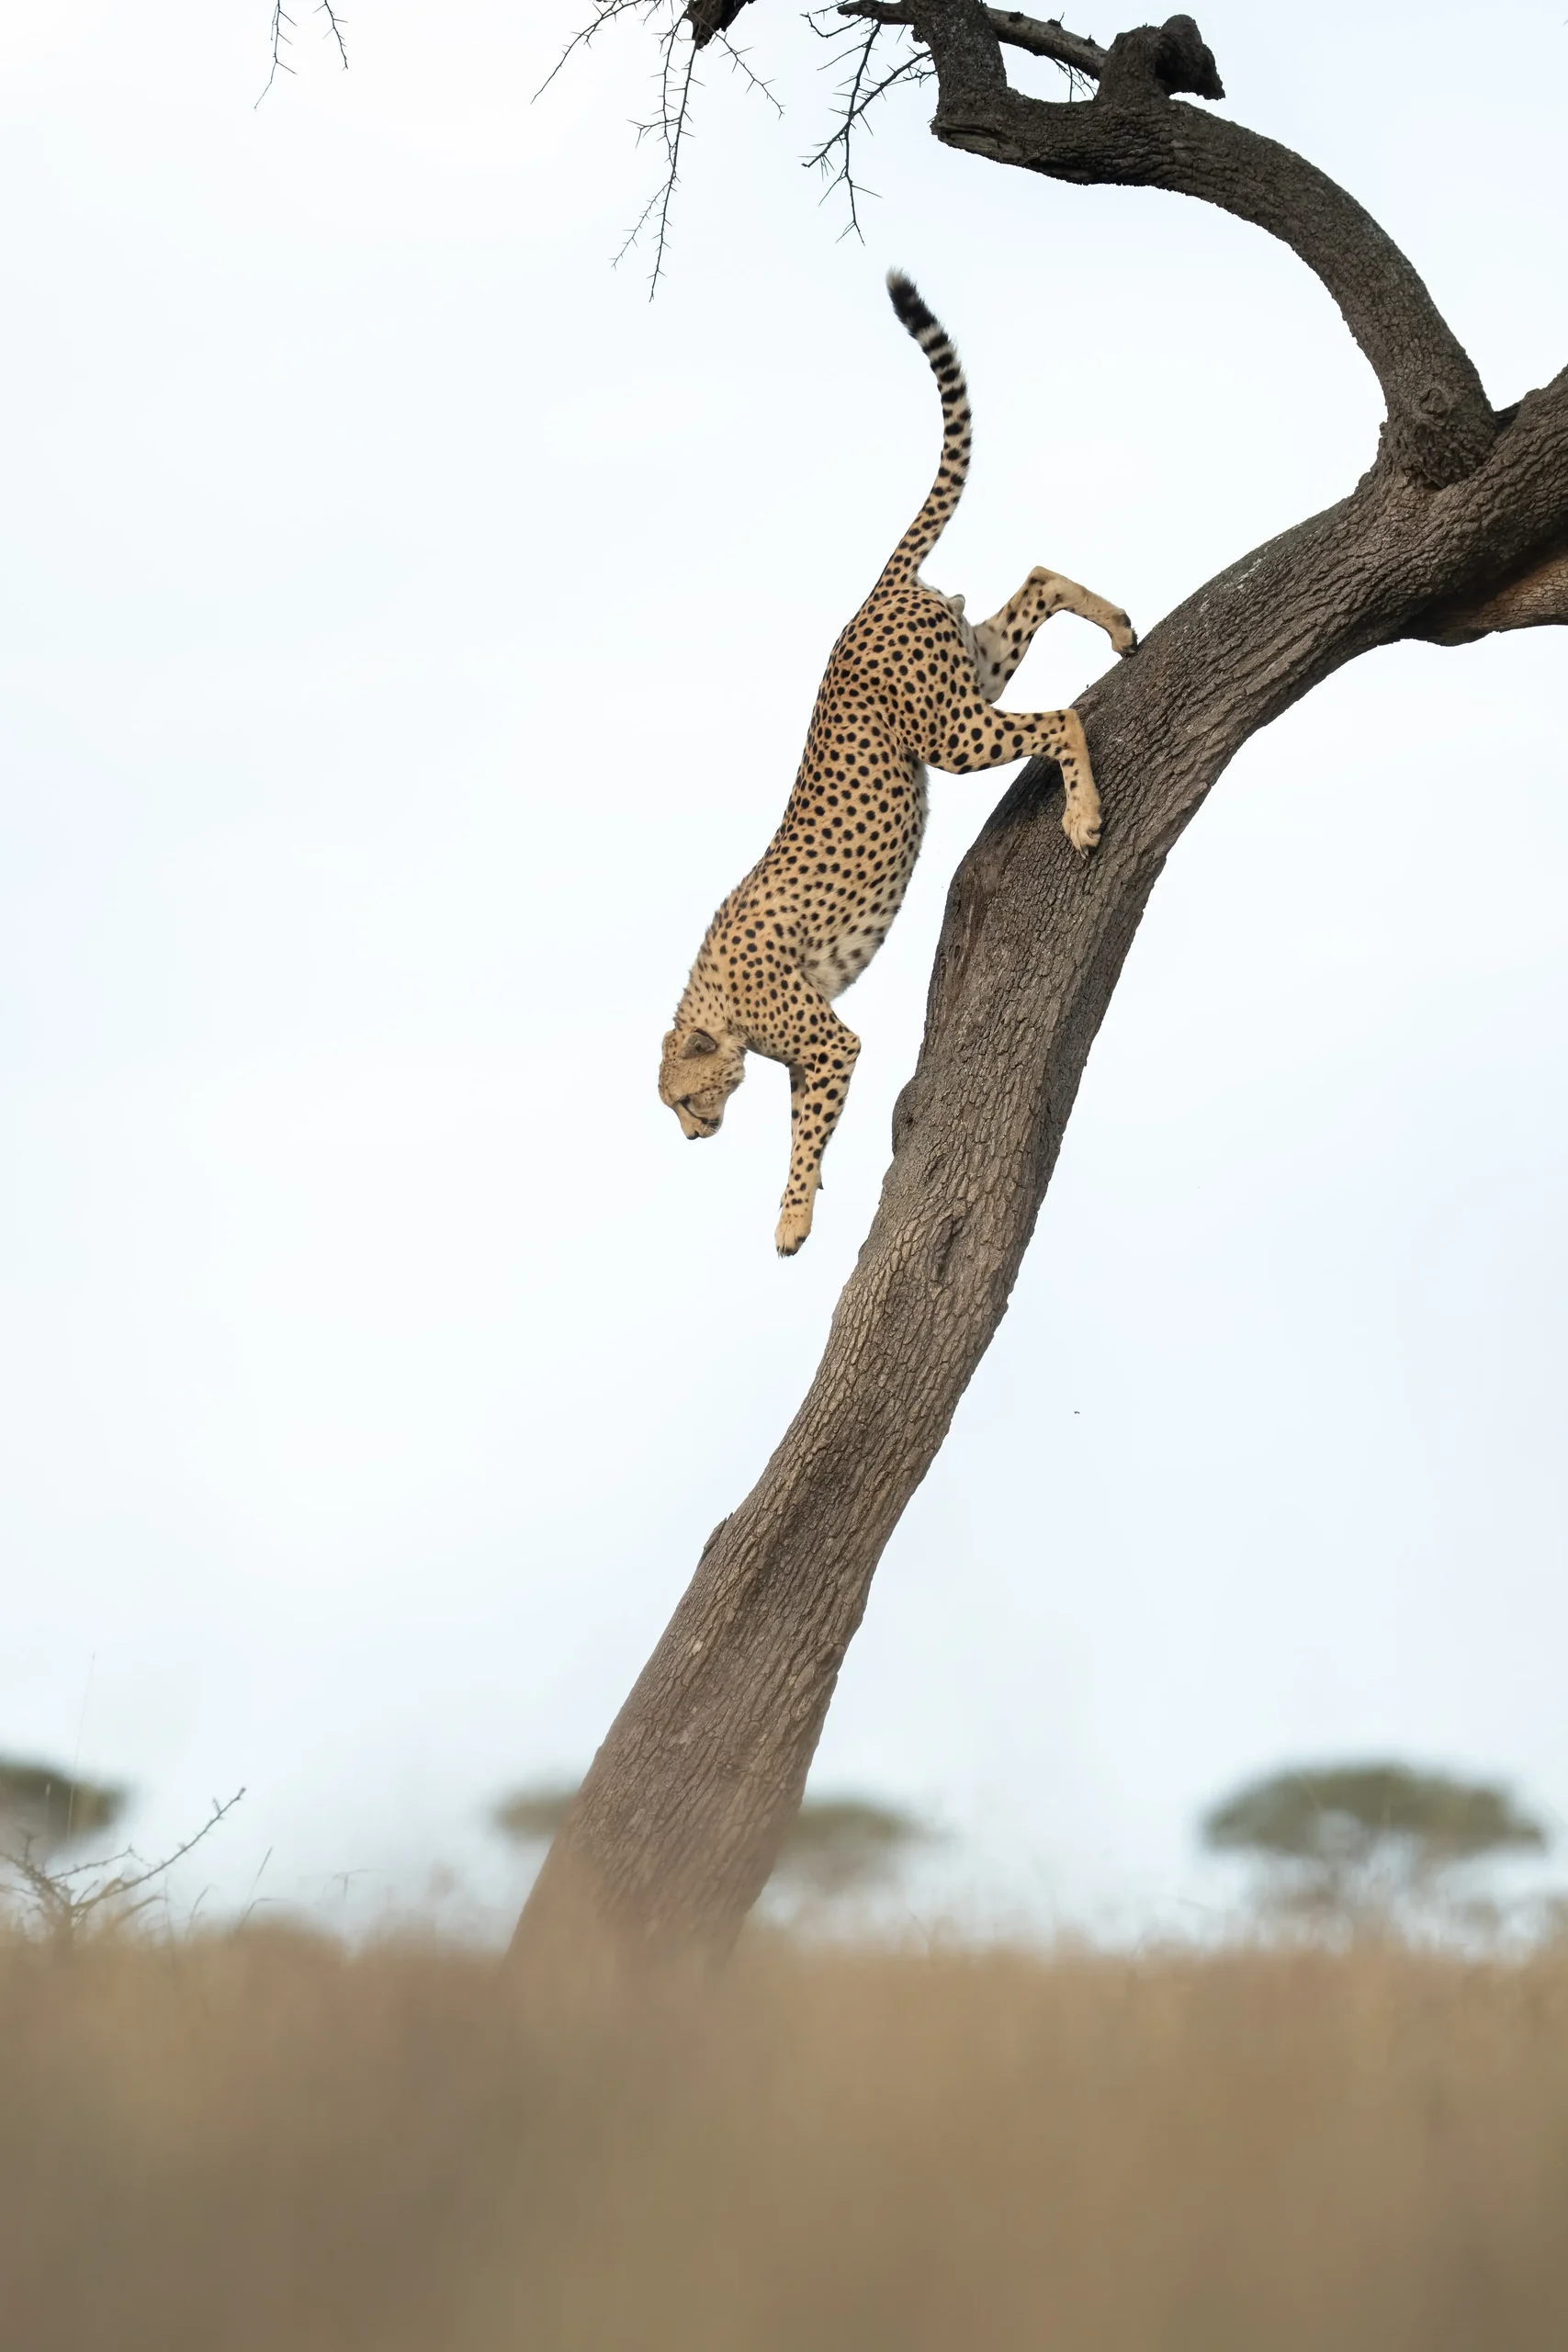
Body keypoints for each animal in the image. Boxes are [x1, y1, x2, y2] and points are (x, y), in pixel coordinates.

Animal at [659, 271, 1137, 1257]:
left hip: (950, 732)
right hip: (969, 668)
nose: (691, 1137)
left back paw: (1081, 815)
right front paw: (802, 1199)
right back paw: (1114, 623)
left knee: (1061, 716)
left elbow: (805, 1130)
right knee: (1037, 578)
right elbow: (803, 1120)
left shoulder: (825, 1042)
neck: (716, 1001)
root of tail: (865, 600)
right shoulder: (808, 1050)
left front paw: (792, 1217)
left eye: (683, 1100)